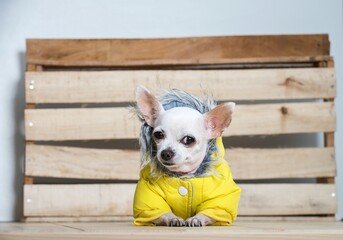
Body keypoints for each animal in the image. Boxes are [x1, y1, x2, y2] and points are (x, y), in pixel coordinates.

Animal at [133, 86, 241, 227]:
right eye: (158, 134)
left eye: (188, 140)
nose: (166, 152)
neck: (184, 176)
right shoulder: (150, 203)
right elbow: (162, 213)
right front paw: (173, 219)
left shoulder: (218, 202)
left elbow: (209, 212)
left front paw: (197, 219)